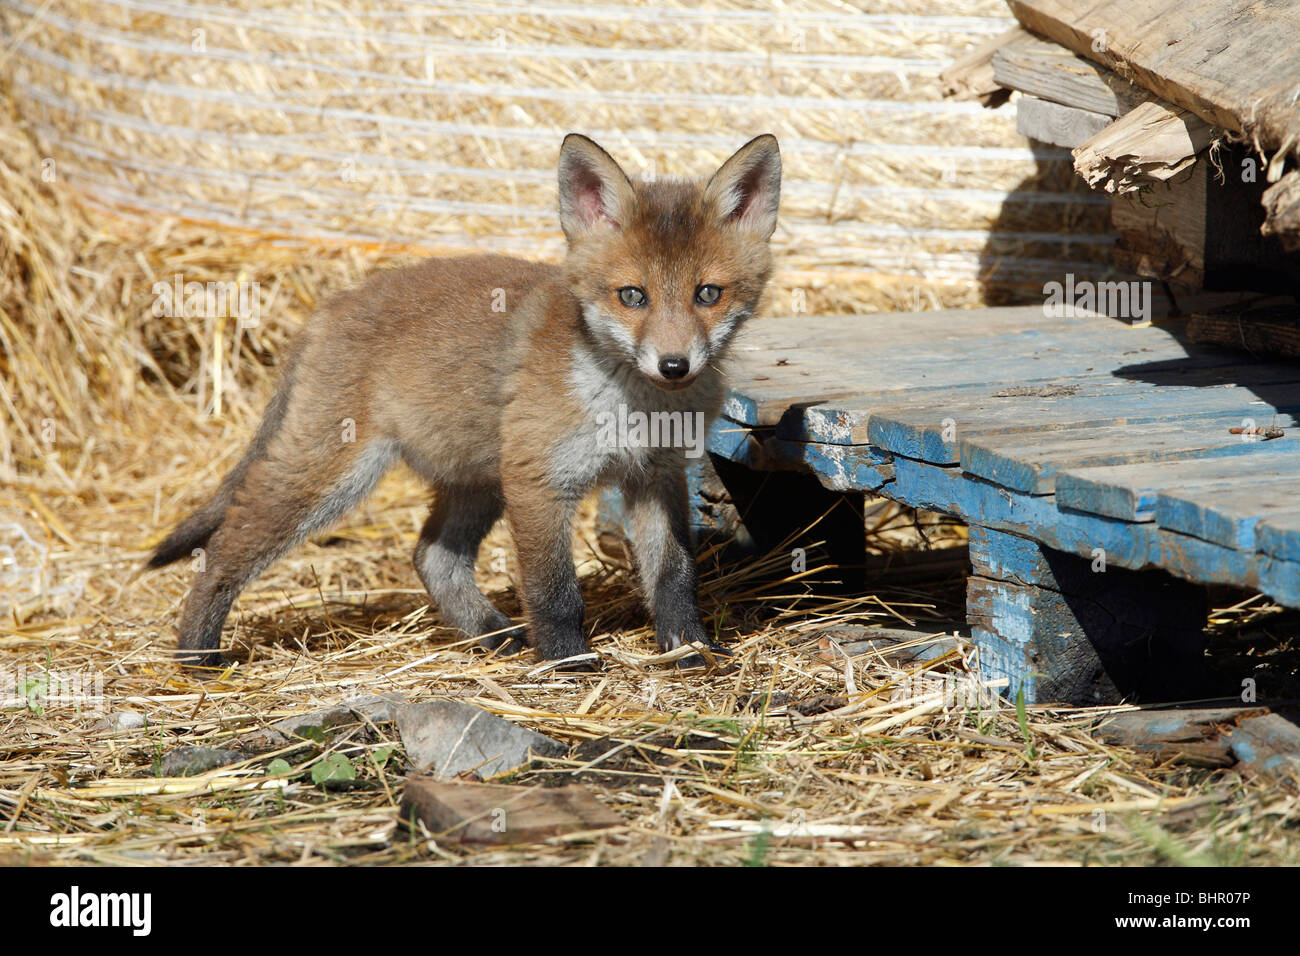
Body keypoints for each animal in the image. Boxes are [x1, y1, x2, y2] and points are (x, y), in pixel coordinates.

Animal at [146, 132, 782, 671]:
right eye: (633, 296)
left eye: (707, 293)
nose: (674, 365)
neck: (633, 406)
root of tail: (332, 305)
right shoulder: (539, 480)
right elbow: (554, 589)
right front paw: (565, 663)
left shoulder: (656, 476)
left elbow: (674, 575)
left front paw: (690, 649)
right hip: (328, 476)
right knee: (224, 548)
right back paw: (196, 655)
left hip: (476, 480)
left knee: (432, 557)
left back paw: (492, 633)